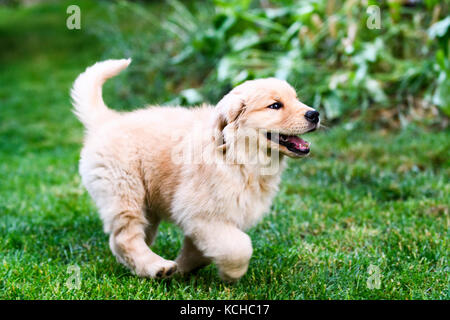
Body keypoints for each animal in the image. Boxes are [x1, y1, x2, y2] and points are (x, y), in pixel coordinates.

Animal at [71, 58, 320, 282]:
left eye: (297, 99)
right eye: (275, 105)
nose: (315, 114)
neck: (238, 156)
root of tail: (107, 120)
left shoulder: (211, 218)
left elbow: (200, 249)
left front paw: (183, 268)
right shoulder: (202, 213)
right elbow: (239, 247)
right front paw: (231, 274)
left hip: (146, 205)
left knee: (127, 241)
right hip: (124, 189)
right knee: (125, 237)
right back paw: (157, 267)